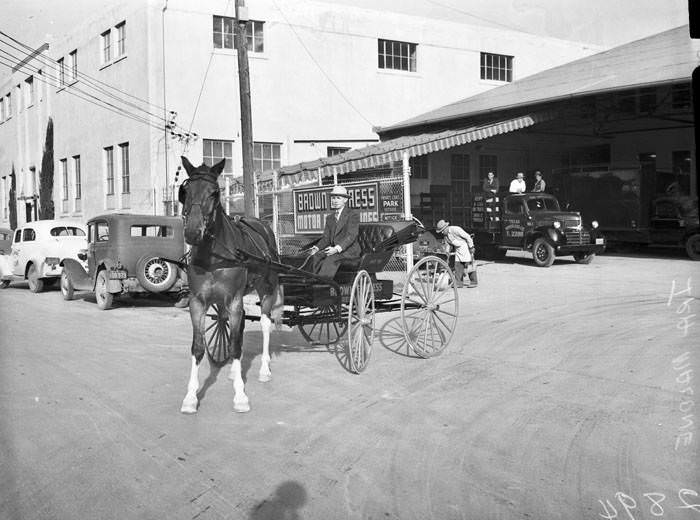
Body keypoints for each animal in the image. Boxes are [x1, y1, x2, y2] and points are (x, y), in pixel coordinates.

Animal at [176, 156, 284, 412]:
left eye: (215, 192)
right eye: (185, 192)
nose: (192, 232)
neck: (214, 256)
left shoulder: (234, 300)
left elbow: (235, 345)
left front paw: (240, 396)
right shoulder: (198, 302)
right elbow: (198, 347)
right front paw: (191, 397)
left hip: (267, 289)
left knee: (265, 324)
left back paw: (264, 369)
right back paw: (236, 373)